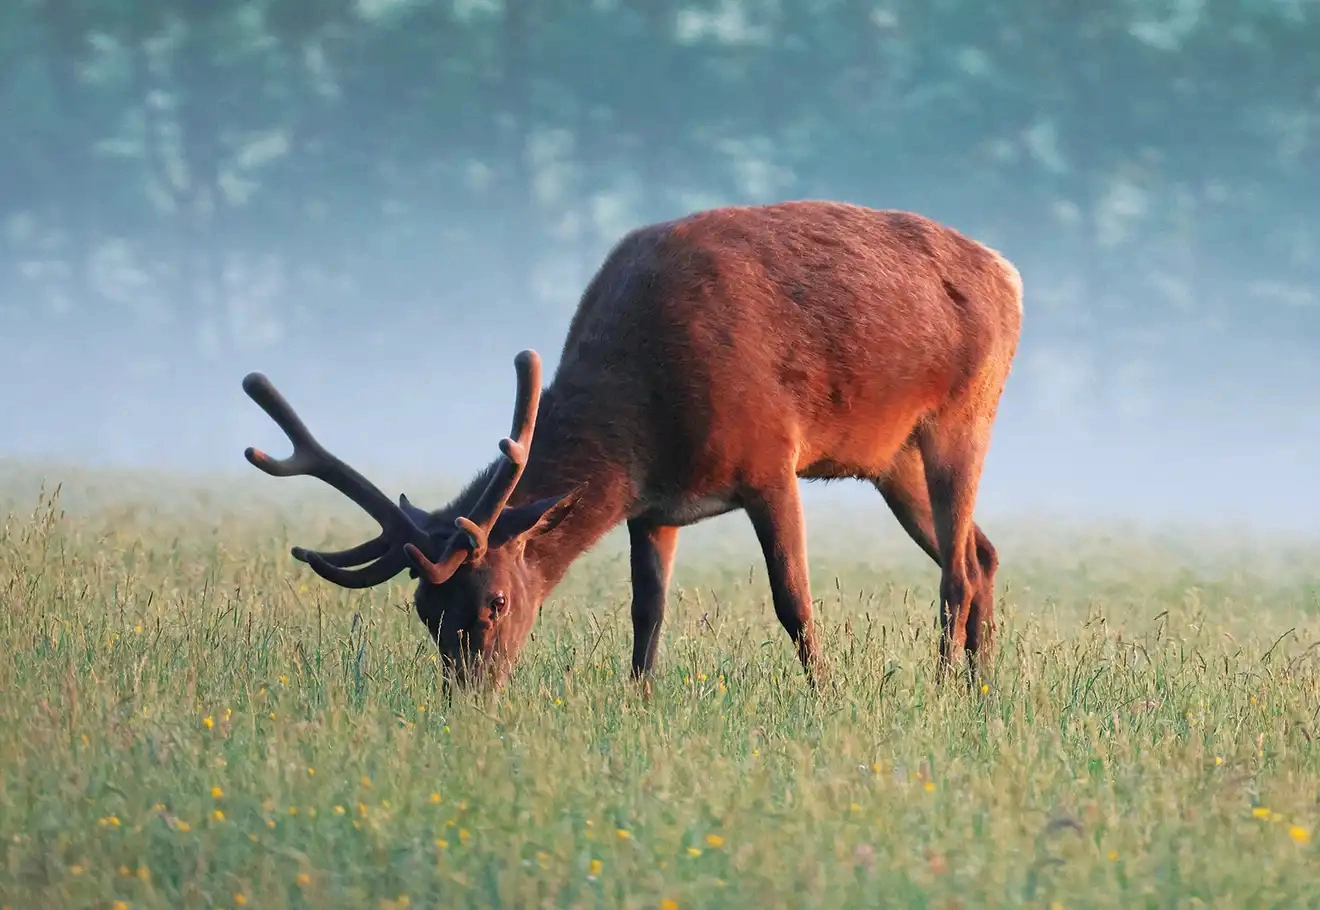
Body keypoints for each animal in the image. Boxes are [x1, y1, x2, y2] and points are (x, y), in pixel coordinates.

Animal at [242, 200, 1022, 691]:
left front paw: (826, 696)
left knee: (957, 568)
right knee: (982, 552)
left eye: (495, 601)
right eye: (425, 613)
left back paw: (942, 687)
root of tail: (1010, 274)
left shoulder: (770, 457)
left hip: (965, 412)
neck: (643, 417)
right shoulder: (653, 505)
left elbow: (792, 599)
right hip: (892, 460)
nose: (466, 695)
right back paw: (981, 690)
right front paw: (638, 699)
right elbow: (647, 613)